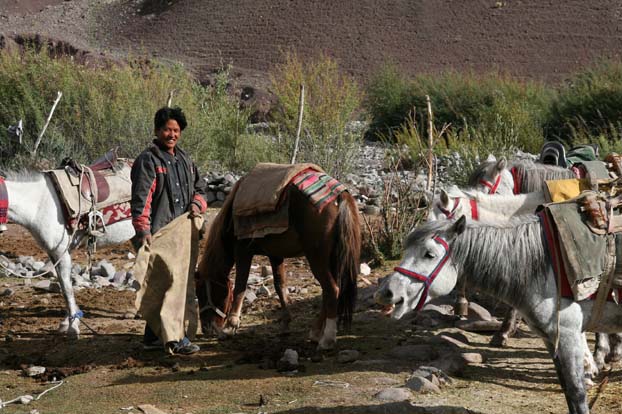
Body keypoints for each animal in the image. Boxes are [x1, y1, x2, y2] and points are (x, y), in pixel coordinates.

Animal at [2, 171, 135, 336]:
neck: (38, 206)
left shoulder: (62, 252)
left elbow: (66, 288)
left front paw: (73, 326)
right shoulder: (54, 254)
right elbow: (62, 286)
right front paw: (67, 322)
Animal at [195, 178, 360, 350]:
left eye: (201, 292)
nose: (206, 328)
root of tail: (340, 195)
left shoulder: (242, 251)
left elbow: (240, 286)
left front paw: (230, 327)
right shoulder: (275, 255)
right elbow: (279, 285)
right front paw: (285, 324)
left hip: (316, 257)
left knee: (332, 289)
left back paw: (327, 339)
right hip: (331, 258)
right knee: (330, 291)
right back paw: (316, 332)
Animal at [376, 217, 622, 414]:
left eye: (429, 254)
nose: (386, 293)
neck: (545, 267)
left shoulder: (569, 336)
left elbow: (576, 392)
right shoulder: (552, 339)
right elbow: (567, 391)